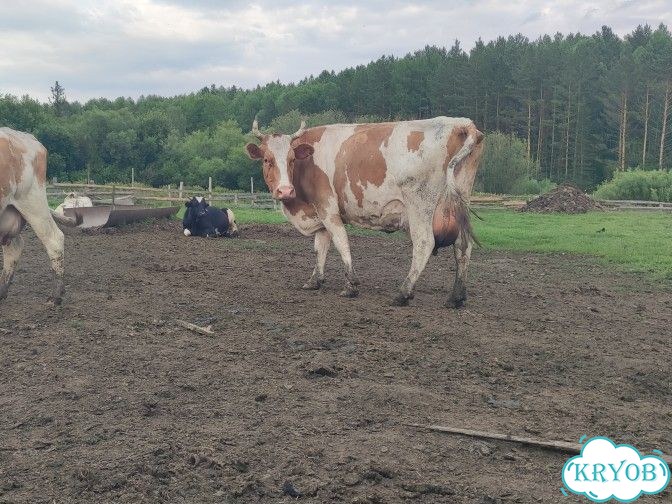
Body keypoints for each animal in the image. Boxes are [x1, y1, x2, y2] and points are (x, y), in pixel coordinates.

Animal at [245, 117, 484, 307]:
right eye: (267, 159)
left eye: (292, 159)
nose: (285, 190)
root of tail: (460, 123)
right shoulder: (319, 214)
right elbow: (320, 247)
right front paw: (315, 281)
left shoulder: (328, 209)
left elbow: (341, 242)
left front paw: (351, 285)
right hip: (459, 202)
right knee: (463, 246)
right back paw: (456, 297)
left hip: (420, 206)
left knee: (424, 243)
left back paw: (403, 293)